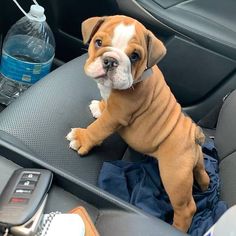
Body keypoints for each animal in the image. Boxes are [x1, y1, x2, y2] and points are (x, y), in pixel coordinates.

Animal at [66, 15, 208, 233]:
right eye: (98, 42)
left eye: (134, 56)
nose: (110, 60)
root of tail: (194, 135)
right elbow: (105, 105)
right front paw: (99, 106)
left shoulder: (116, 115)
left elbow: (98, 129)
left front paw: (82, 138)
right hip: (195, 163)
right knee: (202, 172)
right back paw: (205, 185)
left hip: (174, 174)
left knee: (186, 208)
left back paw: (177, 227)